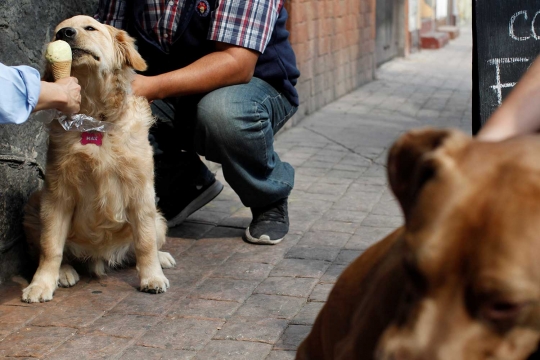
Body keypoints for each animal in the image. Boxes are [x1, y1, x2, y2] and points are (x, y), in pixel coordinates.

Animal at [21, 15, 175, 302]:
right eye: (57, 31)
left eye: (90, 28)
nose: (65, 33)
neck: (93, 118)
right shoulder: (57, 193)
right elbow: (51, 246)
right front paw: (41, 284)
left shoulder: (142, 189)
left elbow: (145, 241)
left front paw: (152, 277)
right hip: (33, 206)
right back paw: (64, 272)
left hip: (159, 216)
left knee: (146, 241)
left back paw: (161, 258)